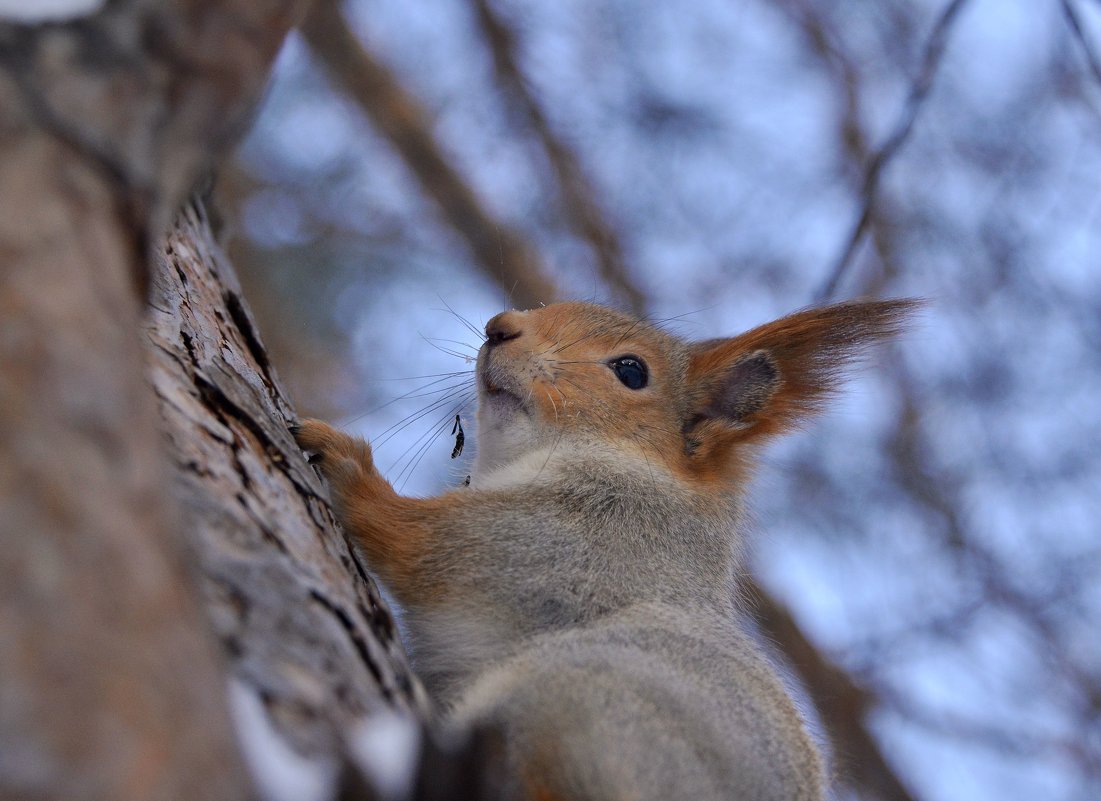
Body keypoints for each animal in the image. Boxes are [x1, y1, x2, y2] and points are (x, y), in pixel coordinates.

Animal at [292, 299, 911, 800]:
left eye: (630, 370)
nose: (499, 326)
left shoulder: (571, 541)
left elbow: (416, 542)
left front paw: (344, 460)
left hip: (580, 700)